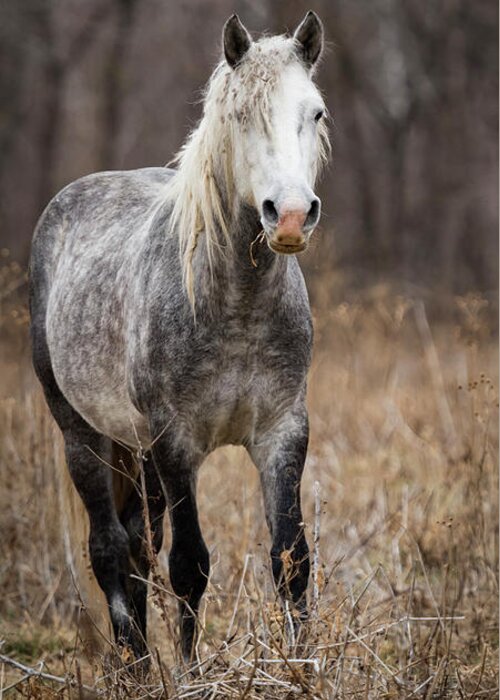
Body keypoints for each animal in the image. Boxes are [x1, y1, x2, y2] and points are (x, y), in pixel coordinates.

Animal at [29, 13, 330, 664]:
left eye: (315, 112)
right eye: (240, 115)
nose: (292, 217)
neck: (236, 306)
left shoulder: (282, 431)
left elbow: (291, 559)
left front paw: (303, 669)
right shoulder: (177, 441)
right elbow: (191, 566)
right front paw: (192, 674)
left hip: (136, 449)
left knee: (138, 547)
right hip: (83, 435)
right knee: (110, 549)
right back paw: (135, 667)